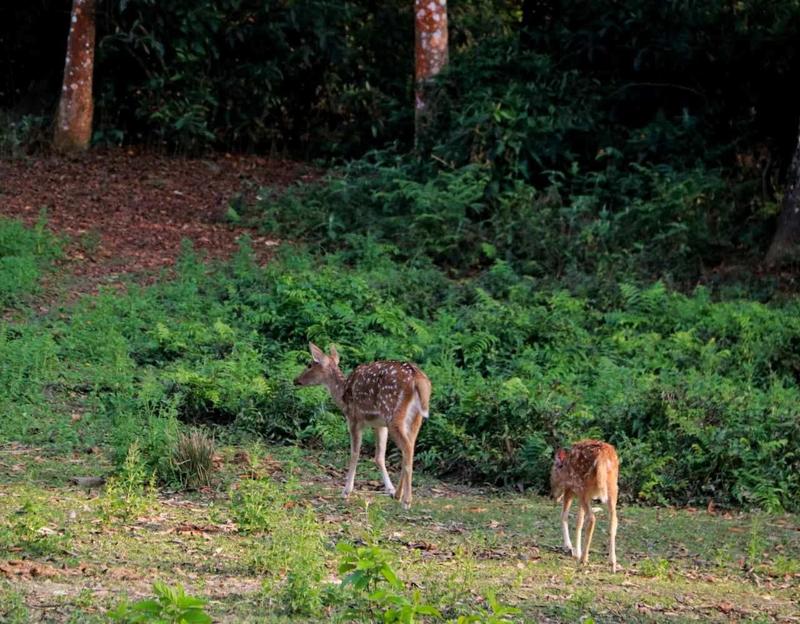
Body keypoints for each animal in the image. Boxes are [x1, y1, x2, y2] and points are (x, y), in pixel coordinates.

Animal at [294, 344, 432, 510]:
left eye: (309, 365)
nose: (296, 380)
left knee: (407, 449)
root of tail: (418, 379)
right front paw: (390, 489)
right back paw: (399, 495)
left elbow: (355, 453)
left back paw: (406, 501)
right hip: (414, 419)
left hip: (393, 415)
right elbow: (379, 457)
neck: (342, 396)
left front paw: (346, 491)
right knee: (410, 448)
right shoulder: (379, 425)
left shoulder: (354, 420)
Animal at [552, 438, 620, 572]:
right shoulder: (580, 495)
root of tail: (603, 459)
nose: (552, 496)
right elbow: (579, 521)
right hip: (613, 487)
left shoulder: (571, 489)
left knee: (591, 518)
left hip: (583, 487)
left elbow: (564, 516)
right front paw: (576, 551)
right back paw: (612, 563)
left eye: (551, 473)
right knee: (614, 520)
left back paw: (584, 559)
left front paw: (570, 547)